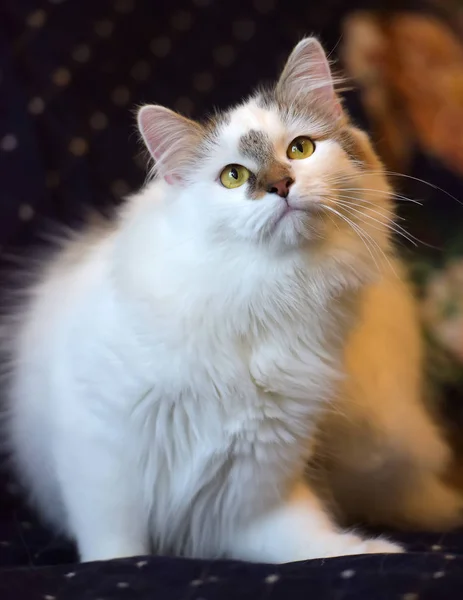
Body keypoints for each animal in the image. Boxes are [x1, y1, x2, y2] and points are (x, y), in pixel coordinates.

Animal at [2, 37, 406, 564]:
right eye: (232, 176)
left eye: (300, 149)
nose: (280, 185)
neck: (268, 294)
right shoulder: (99, 447)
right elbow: (116, 547)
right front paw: (116, 569)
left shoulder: (253, 487)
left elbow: (311, 543)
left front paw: (375, 551)